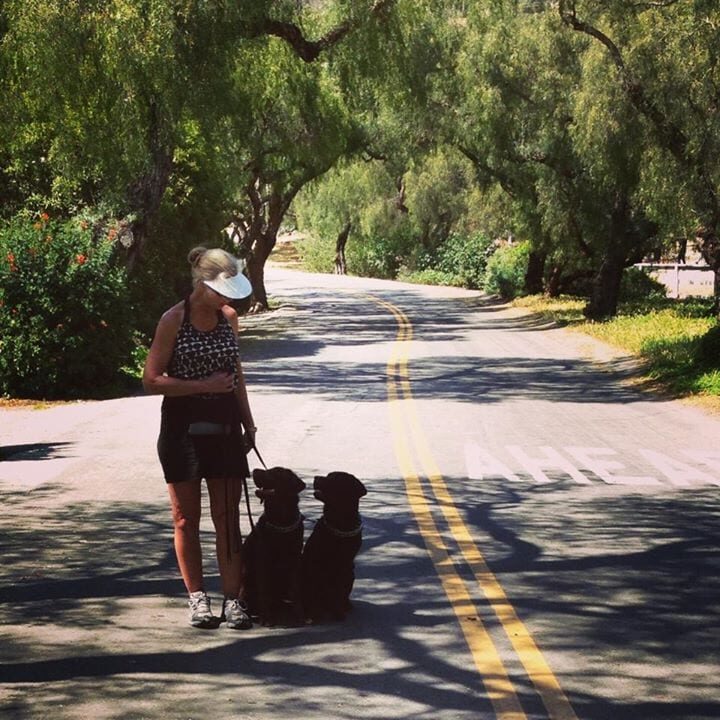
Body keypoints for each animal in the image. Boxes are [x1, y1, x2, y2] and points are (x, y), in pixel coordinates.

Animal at [243, 466, 306, 624]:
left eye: (275, 472)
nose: (254, 470)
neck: (281, 522)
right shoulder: (263, 561)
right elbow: (264, 591)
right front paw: (266, 618)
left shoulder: (295, 561)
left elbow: (296, 590)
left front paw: (300, 615)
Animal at [300, 470, 366, 620]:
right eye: (328, 475)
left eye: (334, 478)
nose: (316, 477)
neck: (339, 523)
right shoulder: (315, 563)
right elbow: (313, 592)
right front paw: (314, 613)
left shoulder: (344, 563)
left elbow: (339, 592)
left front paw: (338, 613)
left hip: (350, 573)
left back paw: (345, 605)